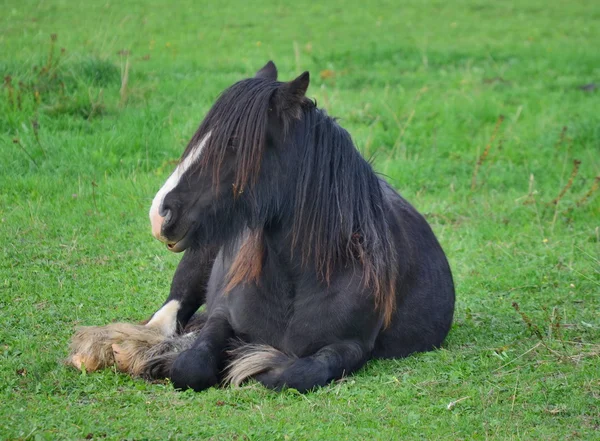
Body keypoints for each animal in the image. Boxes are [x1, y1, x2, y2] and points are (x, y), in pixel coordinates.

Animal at [68, 61, 454, 392]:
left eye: (235, 143)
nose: (160, 214)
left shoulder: (352, 345)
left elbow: (294, 373)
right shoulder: (221, 316)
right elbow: (190, 363)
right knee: (164, 319)